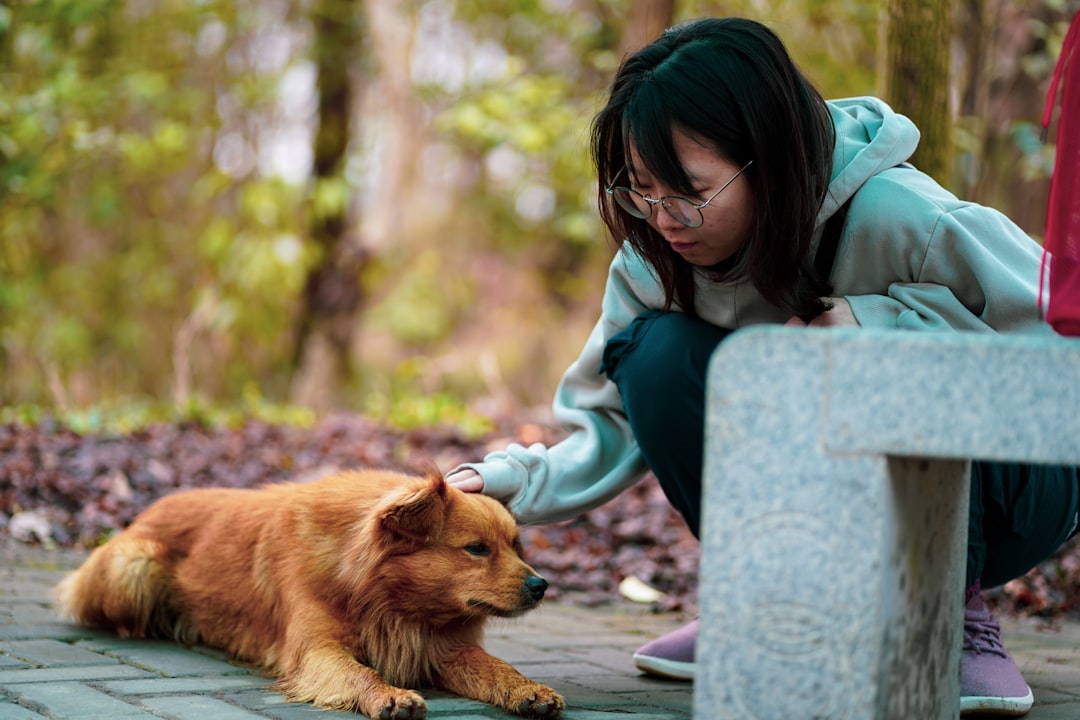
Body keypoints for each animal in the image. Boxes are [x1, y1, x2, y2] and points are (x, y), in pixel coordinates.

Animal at [53, 470, 565, 716]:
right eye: (476, 549)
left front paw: (528, 689)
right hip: (132, 568)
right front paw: (388, 695)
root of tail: (146, 510)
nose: (541, 586)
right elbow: (359, 673)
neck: (387, 599)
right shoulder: (318, 650)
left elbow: (498, 669)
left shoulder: (447, 649)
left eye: (515, 546)